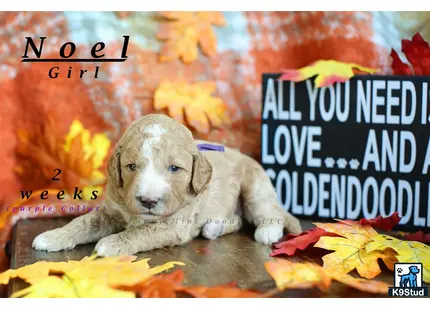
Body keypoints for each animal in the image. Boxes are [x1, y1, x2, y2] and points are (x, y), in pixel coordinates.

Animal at [32, 114, 302, 256]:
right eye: (131, 166)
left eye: (174, 169)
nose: (148, 201)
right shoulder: (111, 211)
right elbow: (83, 222)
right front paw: (53, 236)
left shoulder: (174, 224)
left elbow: (141, 232)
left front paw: (112, 243)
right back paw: (214, 227)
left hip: (255, 184)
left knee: (268, 211)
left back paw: (268, 230)